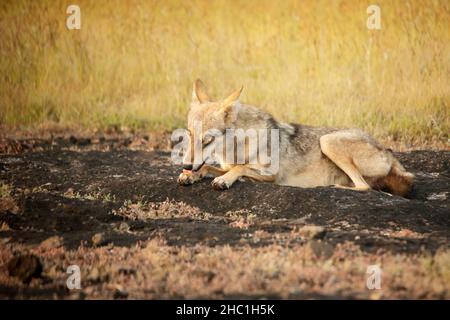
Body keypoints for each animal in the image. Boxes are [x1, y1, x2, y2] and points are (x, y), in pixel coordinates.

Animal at [177, 79, 414, 196]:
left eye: (207, 140)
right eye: (189, 134)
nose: (186, 164)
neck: (236, 148)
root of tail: (389, 153)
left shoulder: (271, 175)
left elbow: (239, 168)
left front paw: (224, 180)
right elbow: (210, 167)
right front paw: (190, 174)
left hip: (327, 141)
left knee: (364, 187)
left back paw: (333, 187)